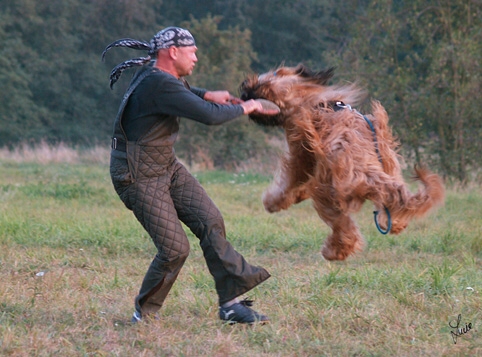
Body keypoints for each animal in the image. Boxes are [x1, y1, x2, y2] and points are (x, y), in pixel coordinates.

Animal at [239, 64, 446, 258]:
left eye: (260, 83)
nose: (243, 90)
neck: (314, 100)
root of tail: (367, 171)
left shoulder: (301, 155)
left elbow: (288, 182)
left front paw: (272, 202)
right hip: (388, 165)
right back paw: (392, 222)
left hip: (327, 192)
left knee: (344, 228)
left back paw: (334, 251)